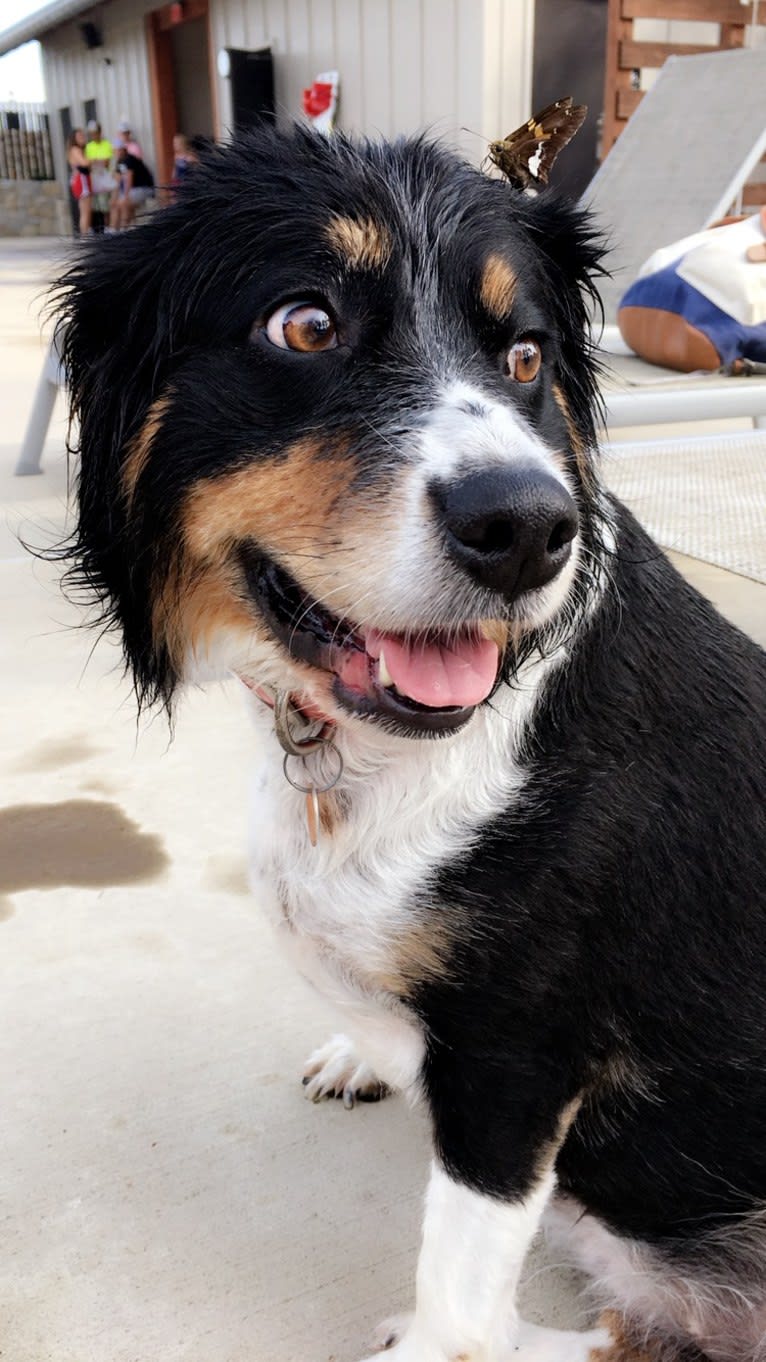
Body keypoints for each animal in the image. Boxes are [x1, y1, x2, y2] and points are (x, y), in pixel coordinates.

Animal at [55, 122, 763, 1356]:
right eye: (305, 324)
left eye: (525, 357)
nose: (527, 529)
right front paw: (363, 1049)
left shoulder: (520, 1052)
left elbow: (462, 1285)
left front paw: (429, 1337)